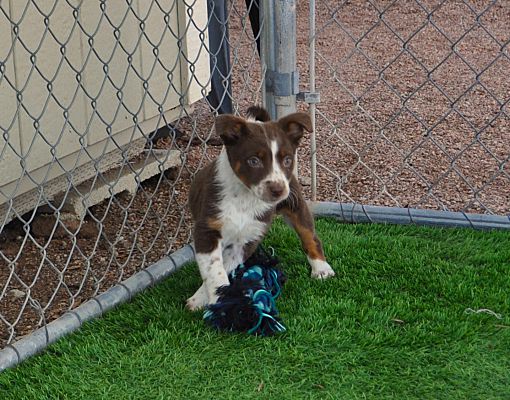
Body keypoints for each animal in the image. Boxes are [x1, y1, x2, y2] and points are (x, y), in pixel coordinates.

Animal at [187, 105, 334, 310]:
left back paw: (321, 268)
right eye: (254, 161)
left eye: (287, 160)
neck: (245, 198)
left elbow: (224, 266)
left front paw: (213, 301)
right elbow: (214, 269)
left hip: (295, 203)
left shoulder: (248, 239)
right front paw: (211, 300)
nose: (278, 189)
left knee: (309, 235)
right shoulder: (207, 229)